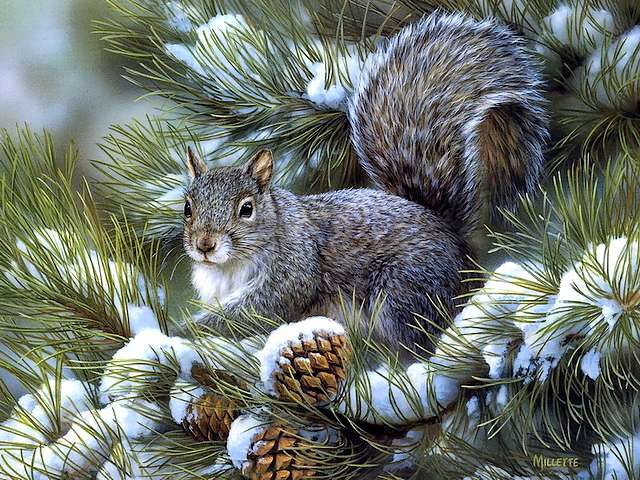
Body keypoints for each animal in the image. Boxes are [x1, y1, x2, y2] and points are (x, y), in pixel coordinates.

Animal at [182, 12, 548, 350]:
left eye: (246, 209)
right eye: (187, 207)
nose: (205, 245)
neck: (229, 266)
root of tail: (458, 249)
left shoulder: (294, 269)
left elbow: (259, 309)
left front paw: (191, 330)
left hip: (405, 290)